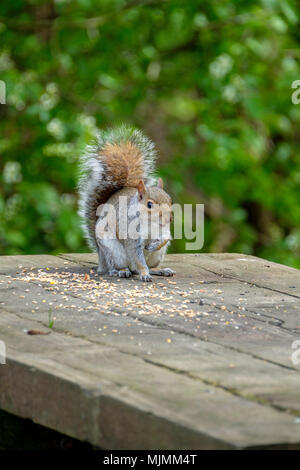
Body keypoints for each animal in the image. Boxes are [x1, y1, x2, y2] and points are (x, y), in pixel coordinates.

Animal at [78, 123, 176, 280]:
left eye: (170, 201)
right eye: (149, 204)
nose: (169, 219)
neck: (150, 224)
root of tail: (101, 260)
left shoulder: (163, 230)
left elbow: (165, 238)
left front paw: (156, 245)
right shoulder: (132, 235)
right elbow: (137, 258)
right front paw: (144, 274)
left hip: (156, 257)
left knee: (147, 266)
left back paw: (160, 270)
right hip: (112, 251)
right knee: (120, 266)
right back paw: (120, 271)